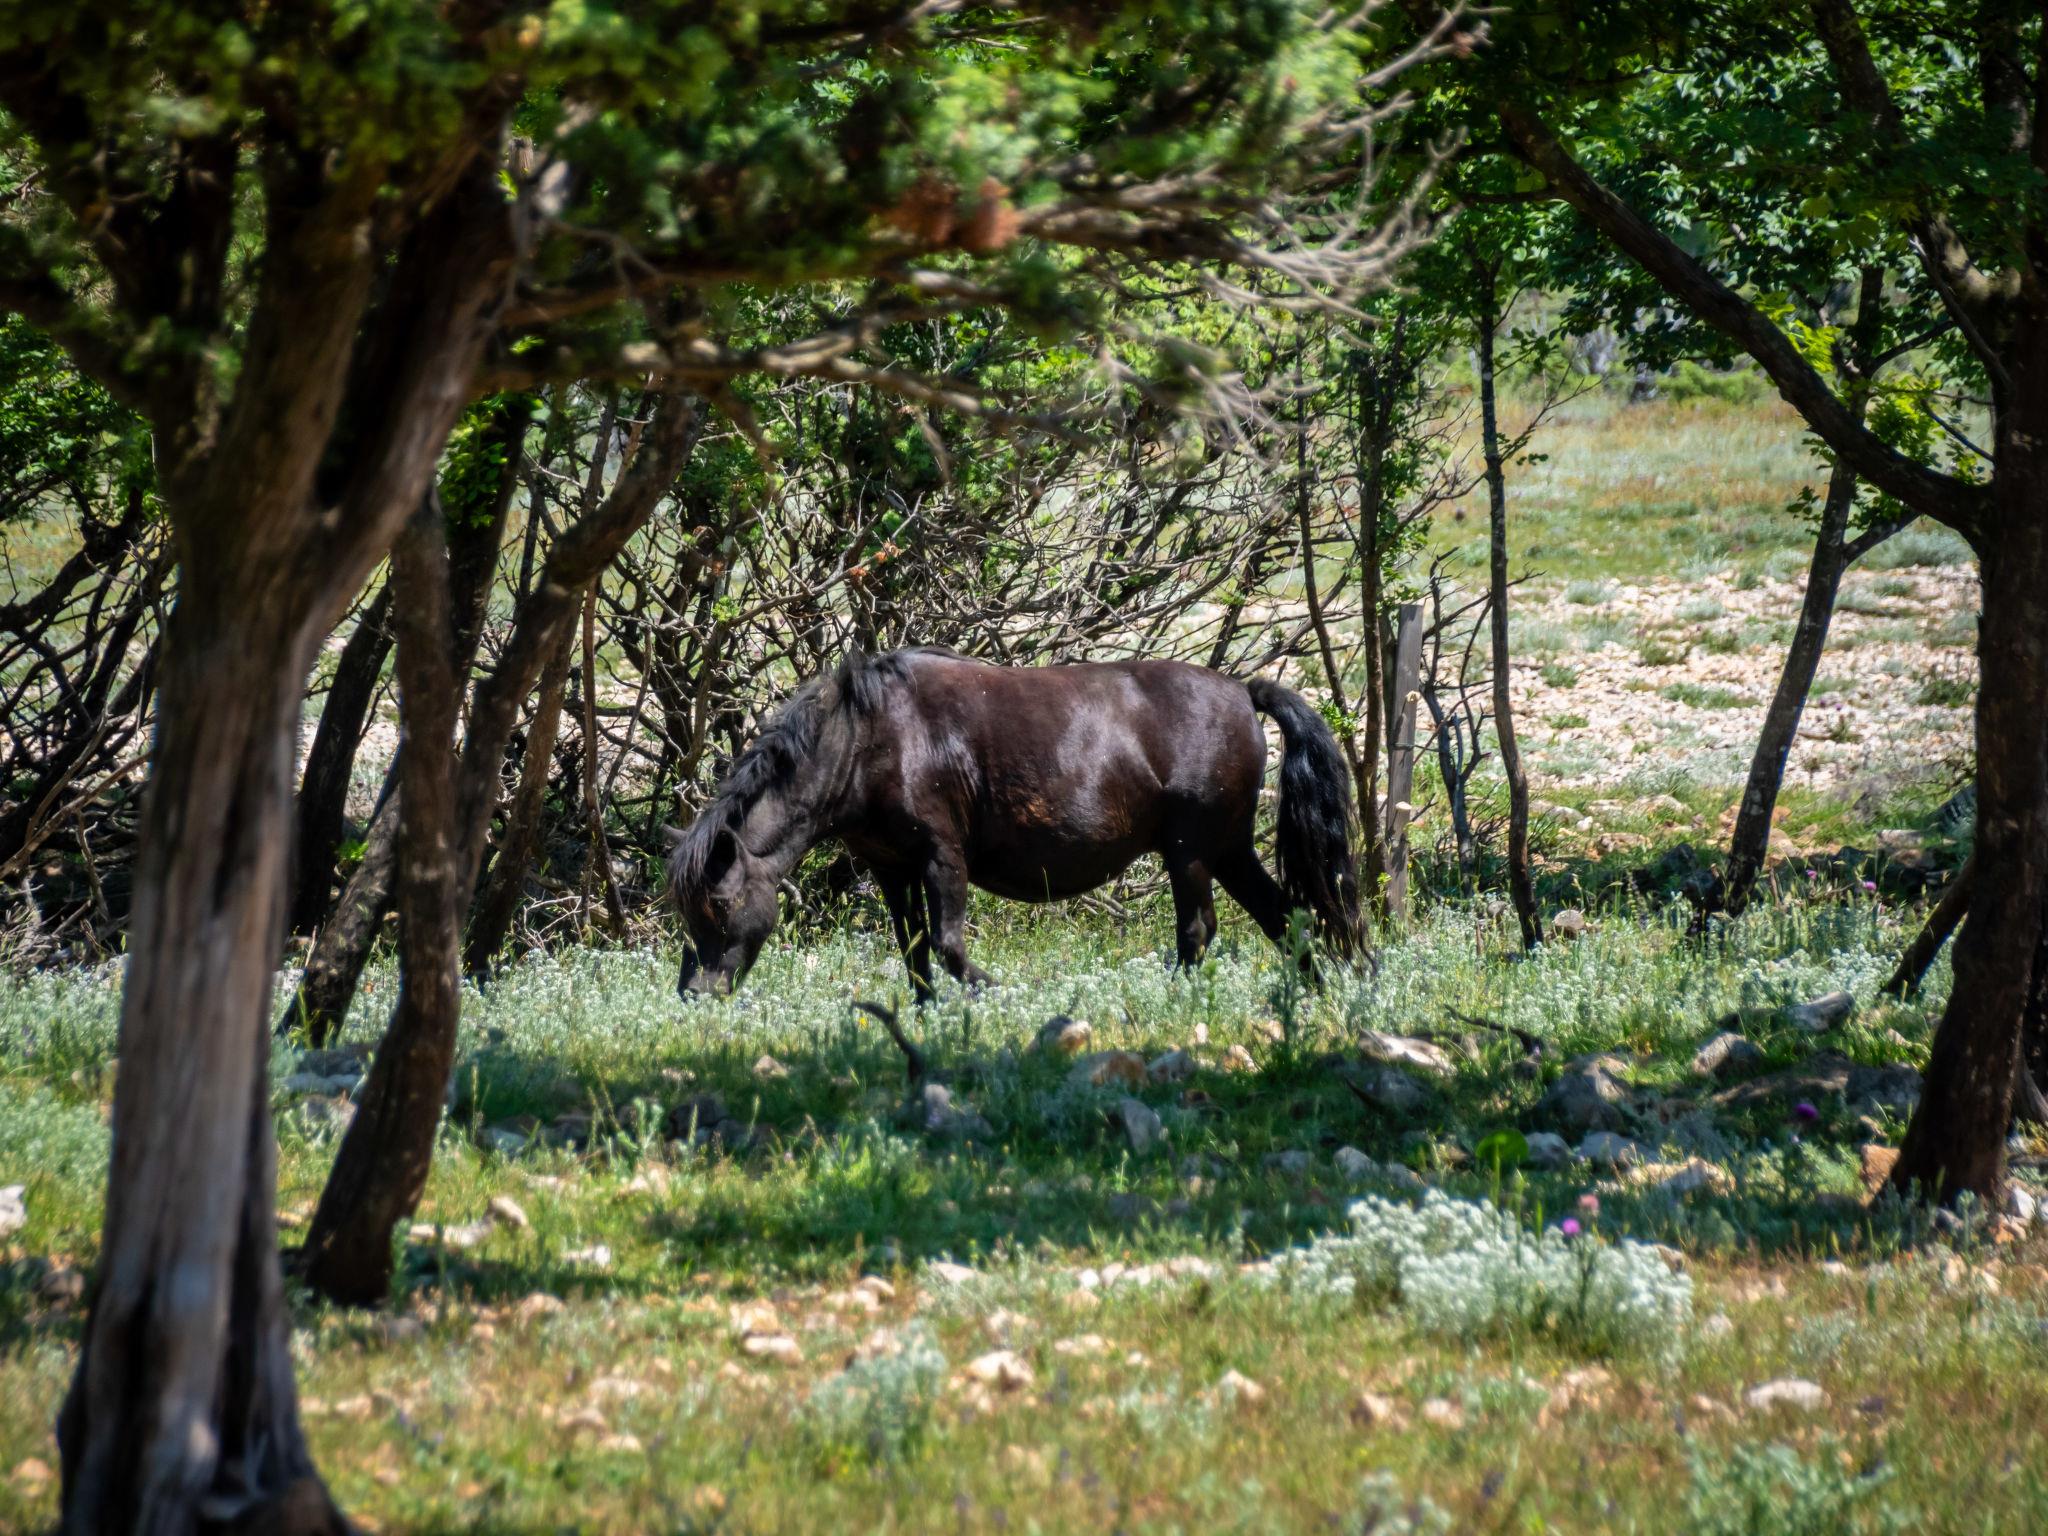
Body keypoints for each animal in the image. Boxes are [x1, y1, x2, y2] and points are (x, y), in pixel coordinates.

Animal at [667, 647, 1362, 1000]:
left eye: (721, 905)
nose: (696, 993)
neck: (865, 740)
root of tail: (1243, 692)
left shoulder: (941, 856)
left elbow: (948, 945)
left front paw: (995, 994)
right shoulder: (891, 868)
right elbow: (914, 950)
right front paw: (924, 1016)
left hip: (1190, 850)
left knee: (1198, 930)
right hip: (1228, 849)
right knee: (1287, 917)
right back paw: (1315, 997)